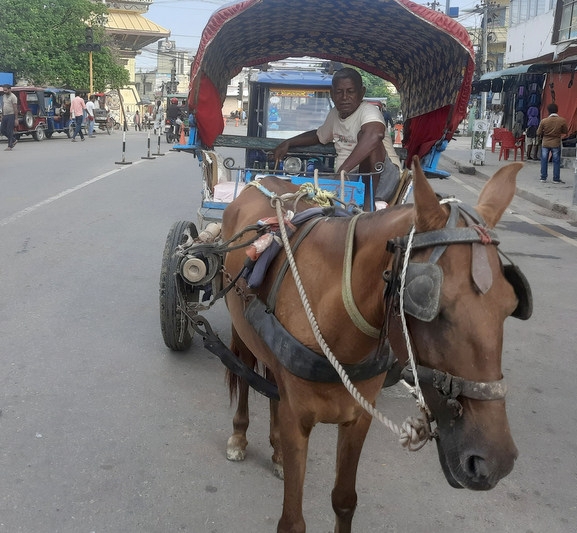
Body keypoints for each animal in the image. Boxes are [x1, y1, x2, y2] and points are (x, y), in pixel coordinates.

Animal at [219, 158, 520, 532]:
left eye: (511, 304)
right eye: (431, 305)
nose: (495, 461)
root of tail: (261, 182)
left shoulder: (358, 417)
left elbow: (344, 500)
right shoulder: (297, 420)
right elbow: (292, 521)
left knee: (272, 380)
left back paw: (276, 451)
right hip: (241, 329)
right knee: (245, 375)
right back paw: (239, 436)